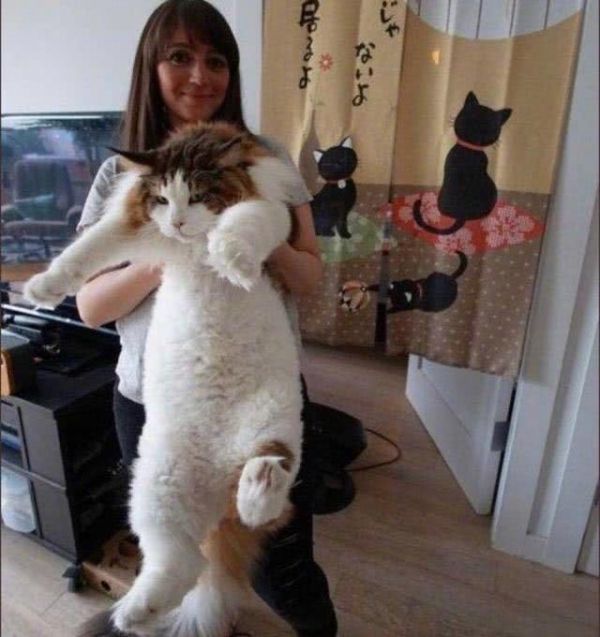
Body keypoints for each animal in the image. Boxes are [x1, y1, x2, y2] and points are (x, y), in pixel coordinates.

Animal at [413, 91, 512, 235]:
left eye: (490, 125)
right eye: (473, 117)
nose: (479, 128)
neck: (469, 149)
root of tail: (462, 216)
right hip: (493, 191)